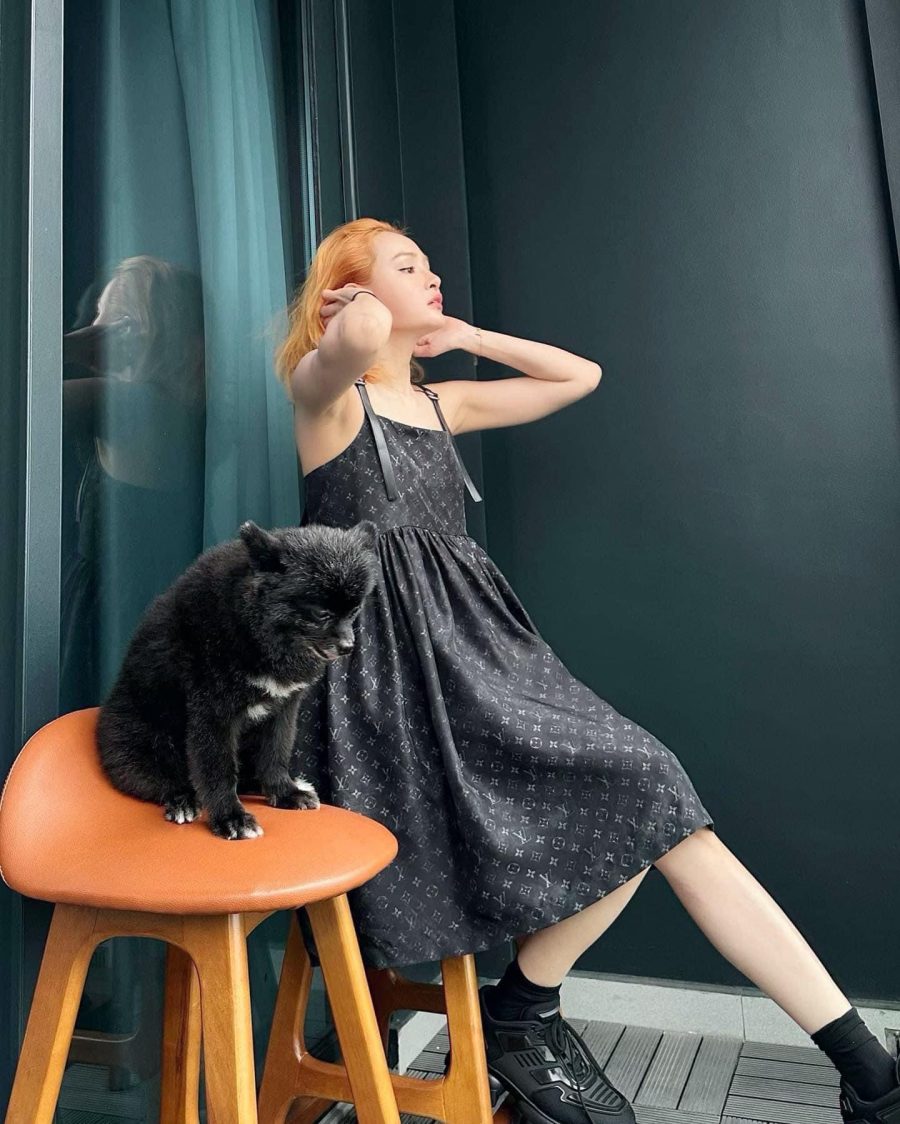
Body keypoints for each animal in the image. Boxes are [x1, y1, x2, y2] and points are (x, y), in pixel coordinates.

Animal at [96, 518, 379, 839]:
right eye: (321, 613)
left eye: (354, 610)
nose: (348, 646)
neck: (256, 630)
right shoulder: (214, 714)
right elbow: (218, 770)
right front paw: (231, 817)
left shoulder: (283, 709)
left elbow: (276, 753)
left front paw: (284, 792)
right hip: (148, 742)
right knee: (163, 780)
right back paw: (183, 801)